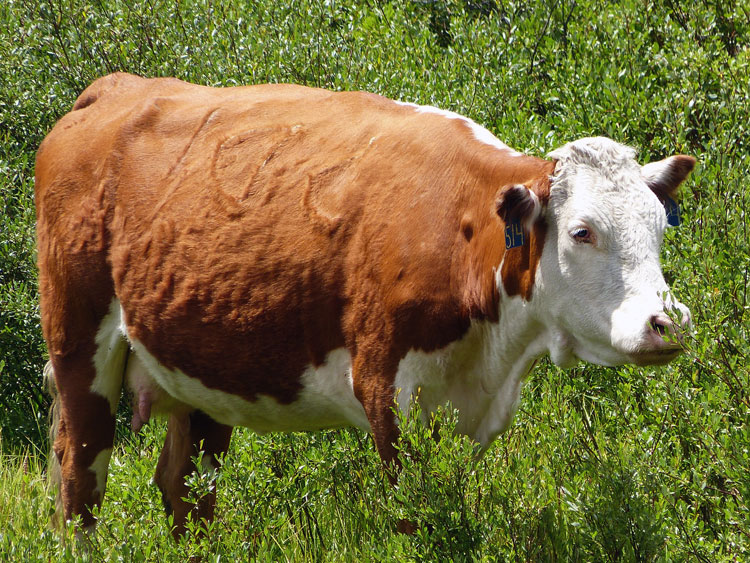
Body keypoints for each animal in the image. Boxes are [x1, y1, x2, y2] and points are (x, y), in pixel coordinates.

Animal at [35, 72, 694, 537]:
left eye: (659, 224)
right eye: (582, 231)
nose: (667, 323)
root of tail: (113, 88)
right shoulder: (388, 393)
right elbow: (417, 520)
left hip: (201, 364)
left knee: (186, 492)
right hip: (77, 347)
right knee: (79, 486)